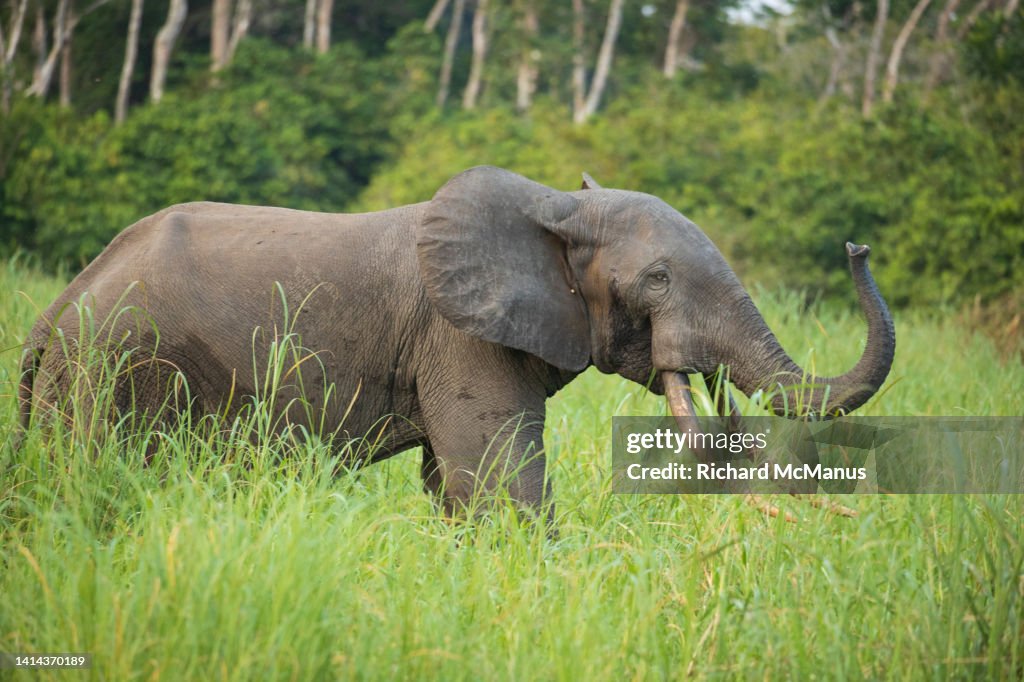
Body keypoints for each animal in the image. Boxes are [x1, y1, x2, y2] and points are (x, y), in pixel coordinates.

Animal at [17, 166, 895, 519]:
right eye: (656, 281)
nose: (859, 246)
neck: (554, 208)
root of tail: (52, 312)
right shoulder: (456, 335)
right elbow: (502, 482)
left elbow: (455, 484)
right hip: (108, 371)